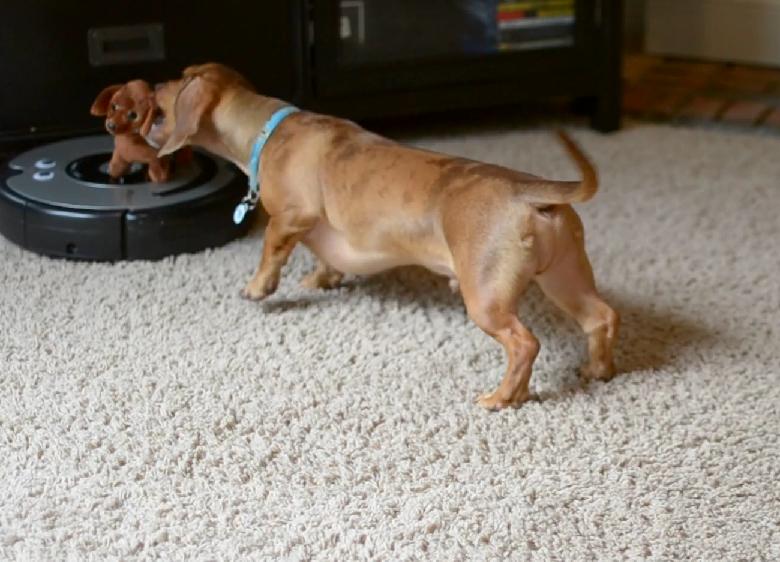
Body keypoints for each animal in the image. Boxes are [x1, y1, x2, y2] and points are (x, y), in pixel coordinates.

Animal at [149, 63, 620, 410]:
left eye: (172, 83)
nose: (148, 85)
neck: (268, 128)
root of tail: (530, 192)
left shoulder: (290, 216)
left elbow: (271, 251)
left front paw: (257, 287)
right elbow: (322, 256)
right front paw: (321, 278)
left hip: (487, 299)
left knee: (525, 344)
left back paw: (503, 397)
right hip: (563, 276)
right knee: (600, 317)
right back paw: (598, 370)